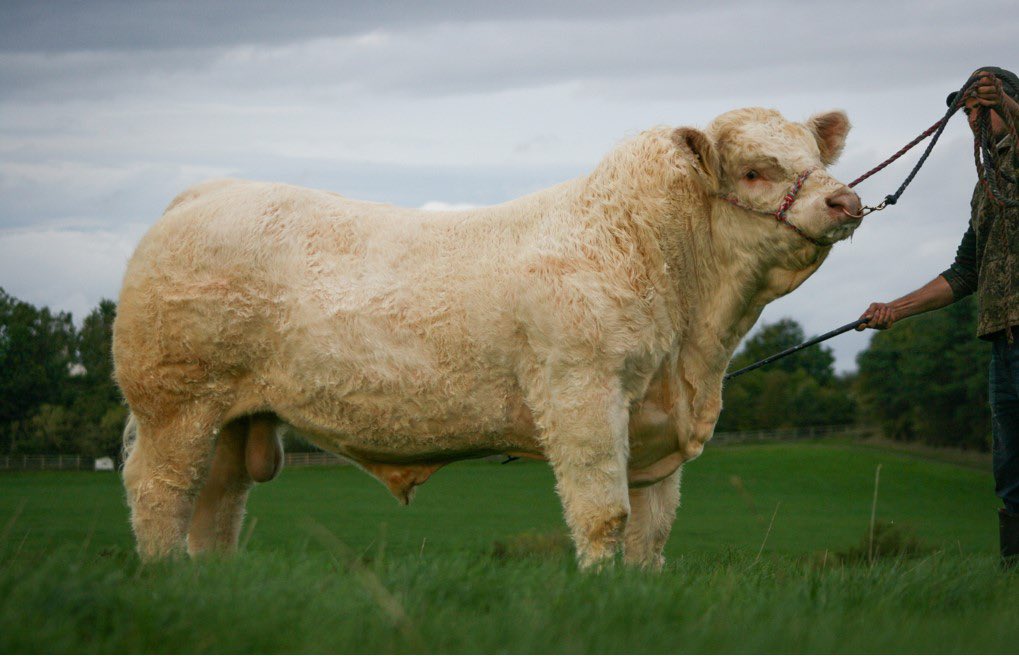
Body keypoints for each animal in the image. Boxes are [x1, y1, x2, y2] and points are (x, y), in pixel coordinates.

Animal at [113, 107, 862, 569]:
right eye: (755, 170)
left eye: (814, 156)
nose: (845, 200)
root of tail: (206, 193)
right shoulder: (582, 395)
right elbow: (604, 516)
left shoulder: (655, 425)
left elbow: (651, 533)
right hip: (176, 405)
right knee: (159, 493)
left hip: (233, 421)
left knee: (217, 509)